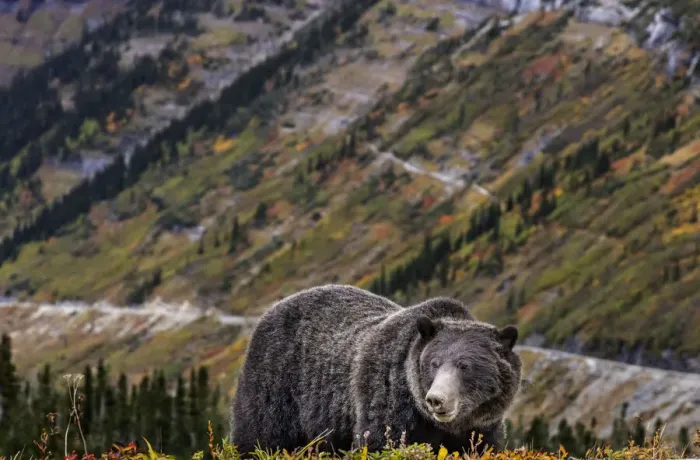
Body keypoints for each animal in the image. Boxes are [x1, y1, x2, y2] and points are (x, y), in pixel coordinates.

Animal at [230, 284, 522, 456]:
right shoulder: (388, 398)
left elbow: (483, 446)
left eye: (464, 365)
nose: (436, 399)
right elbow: (380, 441)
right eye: (434, 363)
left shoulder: (482, 427)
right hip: (275, 385)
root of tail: (272, 308)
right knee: (258, 434)